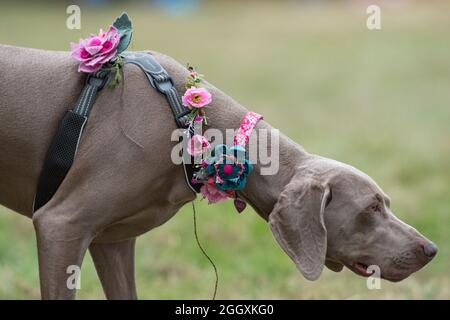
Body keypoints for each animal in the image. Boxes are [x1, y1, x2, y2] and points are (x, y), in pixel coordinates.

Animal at [0, 44, 438, 300]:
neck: (186, 118)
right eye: (371, 209)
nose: (431, 249)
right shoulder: (62, 224)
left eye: (386, 203)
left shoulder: (113, 240)